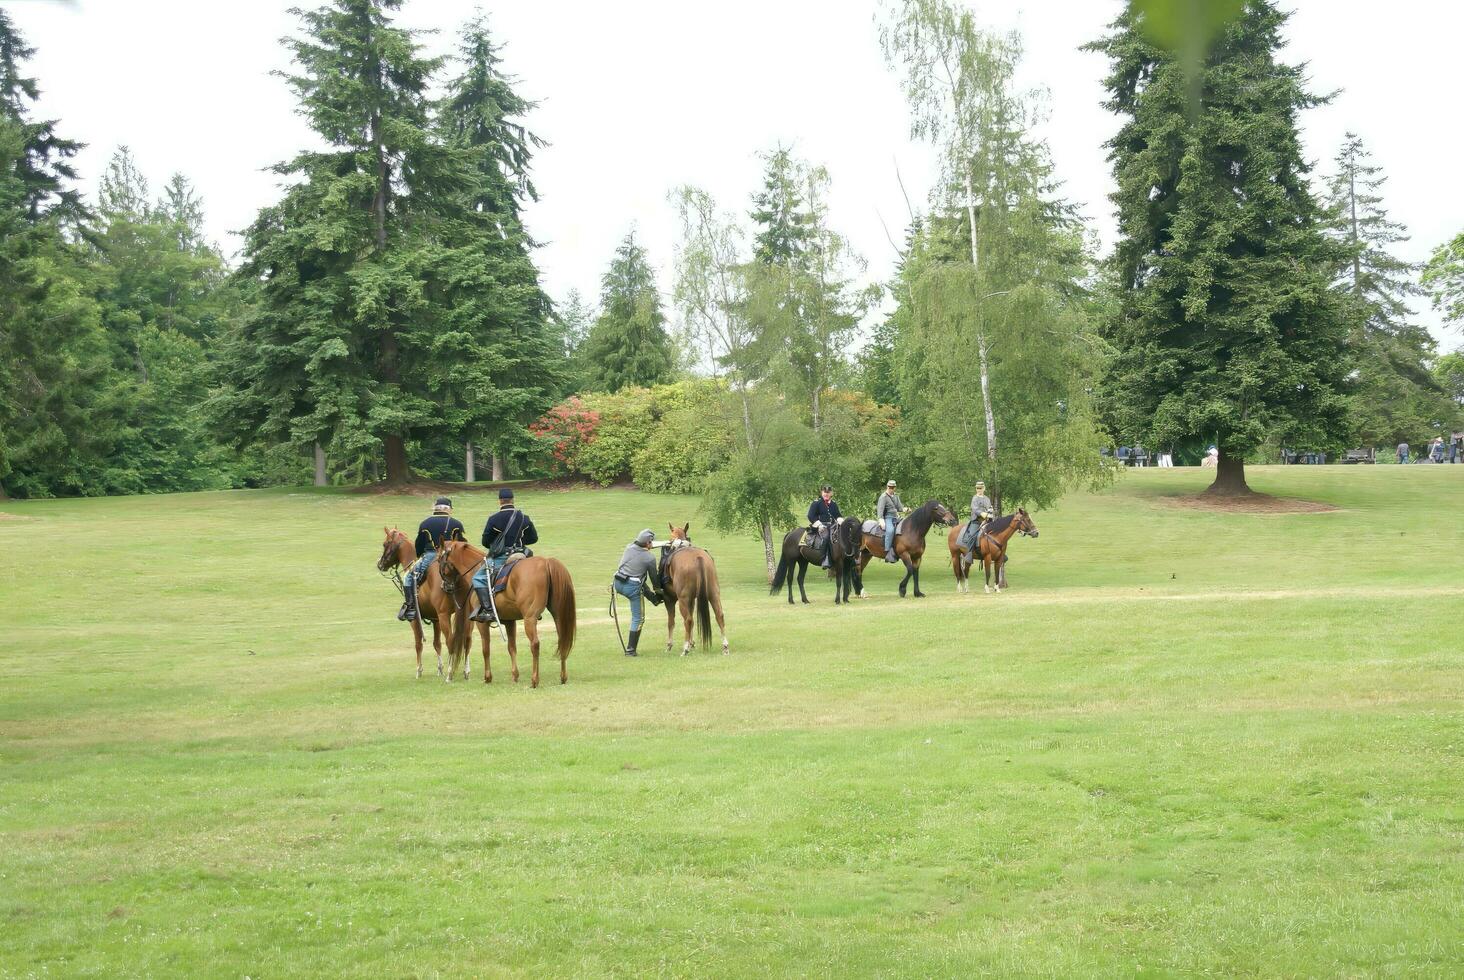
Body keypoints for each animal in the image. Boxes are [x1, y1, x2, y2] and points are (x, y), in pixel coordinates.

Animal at [374, 527, 483, 679]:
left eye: (385, 544)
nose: (380, 564)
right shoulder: (435, 618)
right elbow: (437, 643)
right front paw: (440, 669)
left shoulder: (415, 619)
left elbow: (418, 643)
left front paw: (419, 670)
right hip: (464, 614)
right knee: (467, 639)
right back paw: (465, 671)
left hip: (444, 615)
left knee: (451, 640)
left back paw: (450, 673)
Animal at [433, 536, 576, 688]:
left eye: (438, 559)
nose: (445, 586)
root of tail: (546, 562)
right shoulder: (509, 621)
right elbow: (511, 647)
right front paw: (515, 676)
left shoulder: (481, 623)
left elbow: (486, 649)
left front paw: (488, 677)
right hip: (558, 615)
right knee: (562, 639)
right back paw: (563, 677)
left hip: (530, 618)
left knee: (535, 644)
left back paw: (534, 680)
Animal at [664, 524, 732, 653]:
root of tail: (698, 557)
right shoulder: (692, 600)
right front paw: (692, 643)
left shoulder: (671, 600)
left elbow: (671, 622)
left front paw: (670, 645)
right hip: (714, 594)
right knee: (719, 616)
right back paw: (725, 646)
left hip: (683, 600)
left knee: (688, 620)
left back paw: (685, 648)